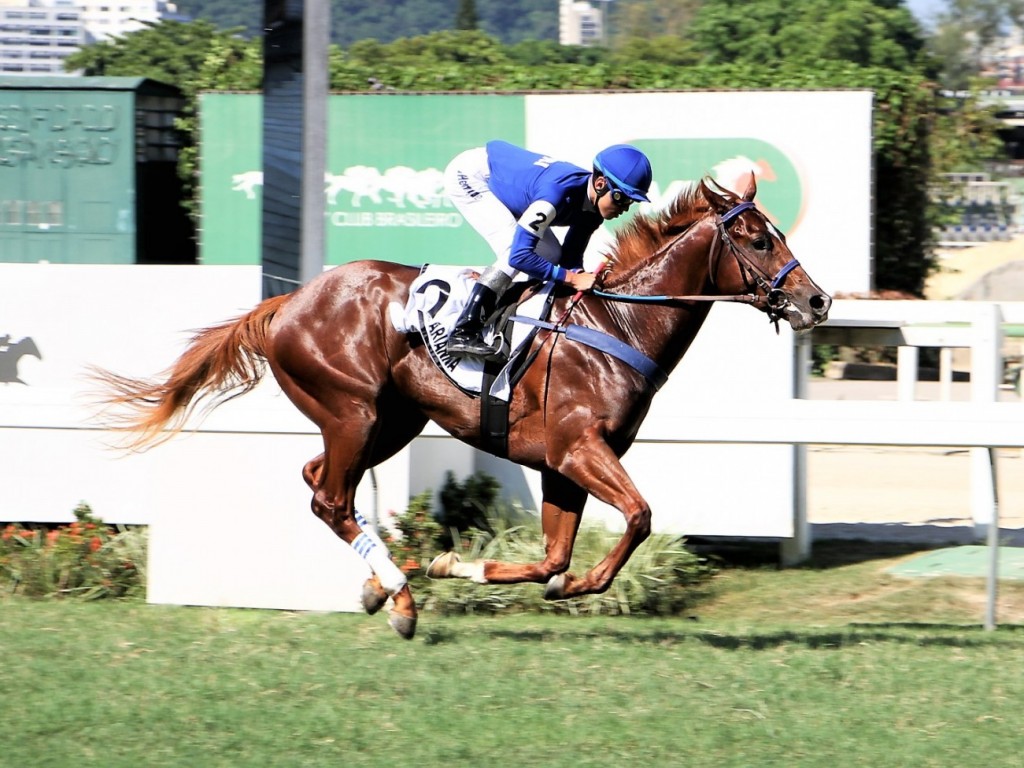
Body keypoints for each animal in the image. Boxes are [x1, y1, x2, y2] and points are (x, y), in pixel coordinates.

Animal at [94, 174, 831, 638]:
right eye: (759, 239)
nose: (817, 300)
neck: (618, 323)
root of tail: (289, 301)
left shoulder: (564, 465)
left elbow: (553, 559)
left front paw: (471, 567)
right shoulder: (578, 450)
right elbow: (639, 518)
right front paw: (548, 582)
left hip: (392, 419)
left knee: (320, 482)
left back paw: (381, 586)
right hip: (354, 410)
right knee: (329, 497)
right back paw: (400, 597)